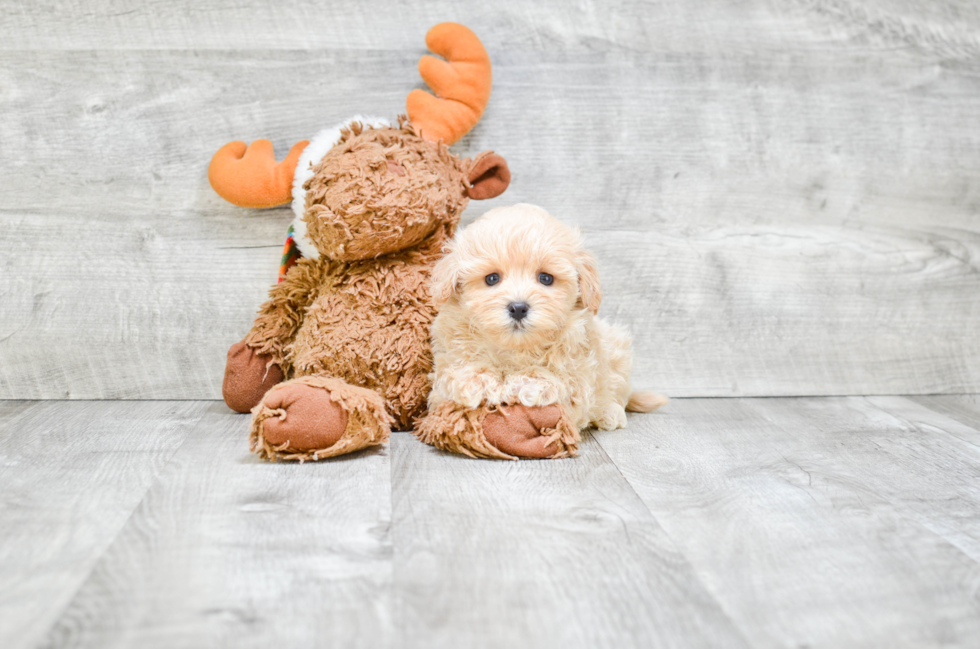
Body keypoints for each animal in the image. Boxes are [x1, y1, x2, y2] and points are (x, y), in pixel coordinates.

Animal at [428, 204, 668, 436]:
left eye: (545, 278)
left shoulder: (579, 383)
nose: (518, 308)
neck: (516, 348)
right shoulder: (443, 377)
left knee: (617, 393)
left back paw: (610, 413)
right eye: (492, 279)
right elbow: (454, 374)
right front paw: (477, 381)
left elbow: (558, 382)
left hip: (617, 351)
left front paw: (527, 383)